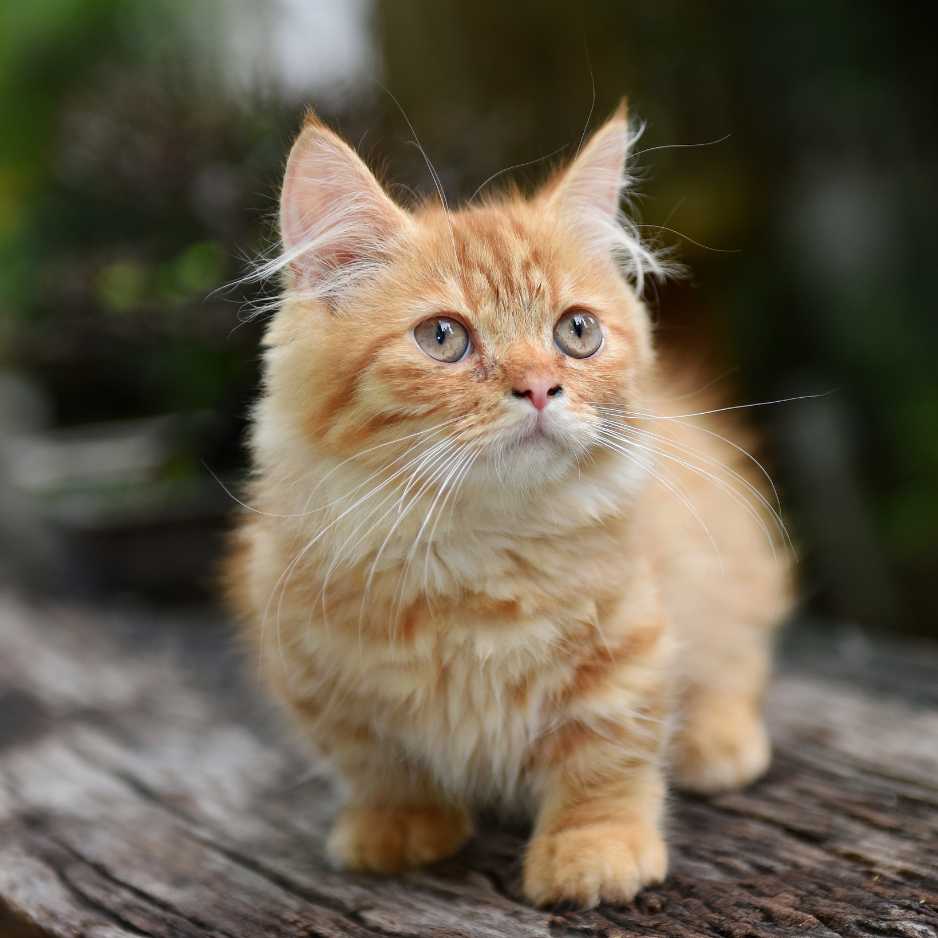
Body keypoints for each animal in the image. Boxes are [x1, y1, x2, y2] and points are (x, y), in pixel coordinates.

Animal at [225, 102, 788, 908]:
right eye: (443, 337)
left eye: (577, 331)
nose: (540, 387)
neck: (476, 549)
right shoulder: (310, 664)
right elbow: (375, 758)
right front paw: (399, 825)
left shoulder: (629, 644)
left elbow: (606, 756)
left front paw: (594, 850)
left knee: (737, 659)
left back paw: (717, 741)